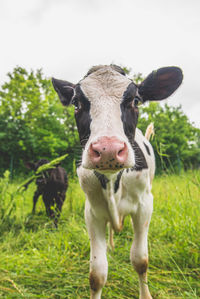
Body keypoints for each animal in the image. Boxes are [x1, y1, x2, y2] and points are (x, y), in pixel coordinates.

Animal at [52, 65, 183, 299]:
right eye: (76, 103)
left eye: (136, 100)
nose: (108, 150)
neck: (113, 182)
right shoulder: (92, 211)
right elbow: (97, 273)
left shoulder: (145, 205)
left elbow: (140, 260)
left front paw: (145, 294)